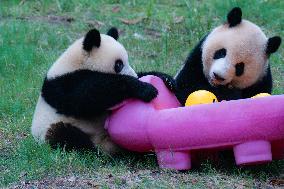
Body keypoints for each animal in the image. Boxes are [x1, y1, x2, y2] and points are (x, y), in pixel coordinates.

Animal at [31, 27, 162, 154]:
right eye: (119, 65)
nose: (134, 76)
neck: (77, 63)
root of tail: (103, 143)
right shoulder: (66, 83)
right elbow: (88, 97)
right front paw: (144, 88)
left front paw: (164, 79)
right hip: (51, 127)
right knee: (63, 134)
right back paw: (93, 151)